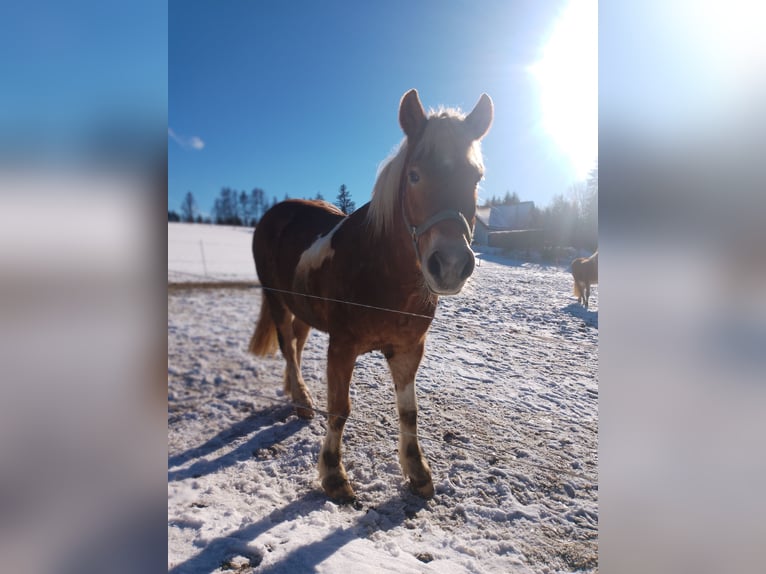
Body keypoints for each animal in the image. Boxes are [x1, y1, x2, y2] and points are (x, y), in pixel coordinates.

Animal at [249, 88, 496, 502]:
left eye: (476, 178)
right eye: (414, 175)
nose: (449, 264)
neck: (382, 274)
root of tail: (275, 213)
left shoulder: (409, 348)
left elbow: (409, 411)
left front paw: (417, 471)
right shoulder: (342, 347)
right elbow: (340, 409)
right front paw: (334, 475)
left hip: (303, 310)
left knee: (295, 345)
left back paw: (297, 394)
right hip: (278, 300)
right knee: (288, 347)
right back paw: (301, 399)